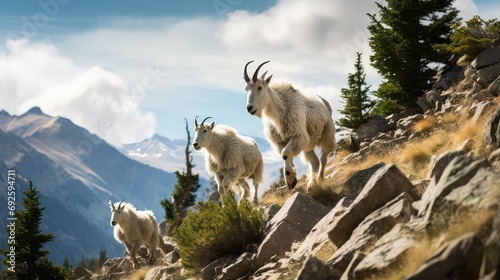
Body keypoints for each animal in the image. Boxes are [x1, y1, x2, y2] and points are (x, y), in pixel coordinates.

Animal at [243, 60, 336, 189]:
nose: (249, 108)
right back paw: (312, 184)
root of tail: (323, 100)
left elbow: (285, 154)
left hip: (327, 133)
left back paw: (320, 179)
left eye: (260, 87)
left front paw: (290, 180)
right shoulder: (281, 142)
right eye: (246, 89)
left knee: (323, 158)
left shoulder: (298, 136)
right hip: (308, 144)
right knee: (315, 162)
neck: (279, 112)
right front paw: (293, 177)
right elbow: (286, 156)